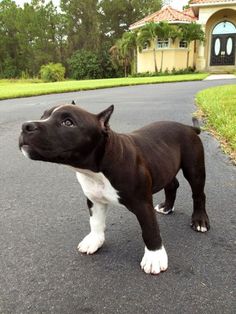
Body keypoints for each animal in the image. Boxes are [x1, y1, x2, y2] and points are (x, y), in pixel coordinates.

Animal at [19, 102, 209, 274]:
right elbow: (95, 222)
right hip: (164, 165)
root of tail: (187, 127)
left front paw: (154, 257)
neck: (95, 170)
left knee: (198, 194)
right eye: (43, 115)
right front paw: (94, 240)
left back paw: (199, 220)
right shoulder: (94, 200)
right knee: (172, 184)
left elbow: (150, 230)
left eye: (68, 122)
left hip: (194, 168)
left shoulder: (143, 204)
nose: (25, 126)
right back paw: (167, 207)